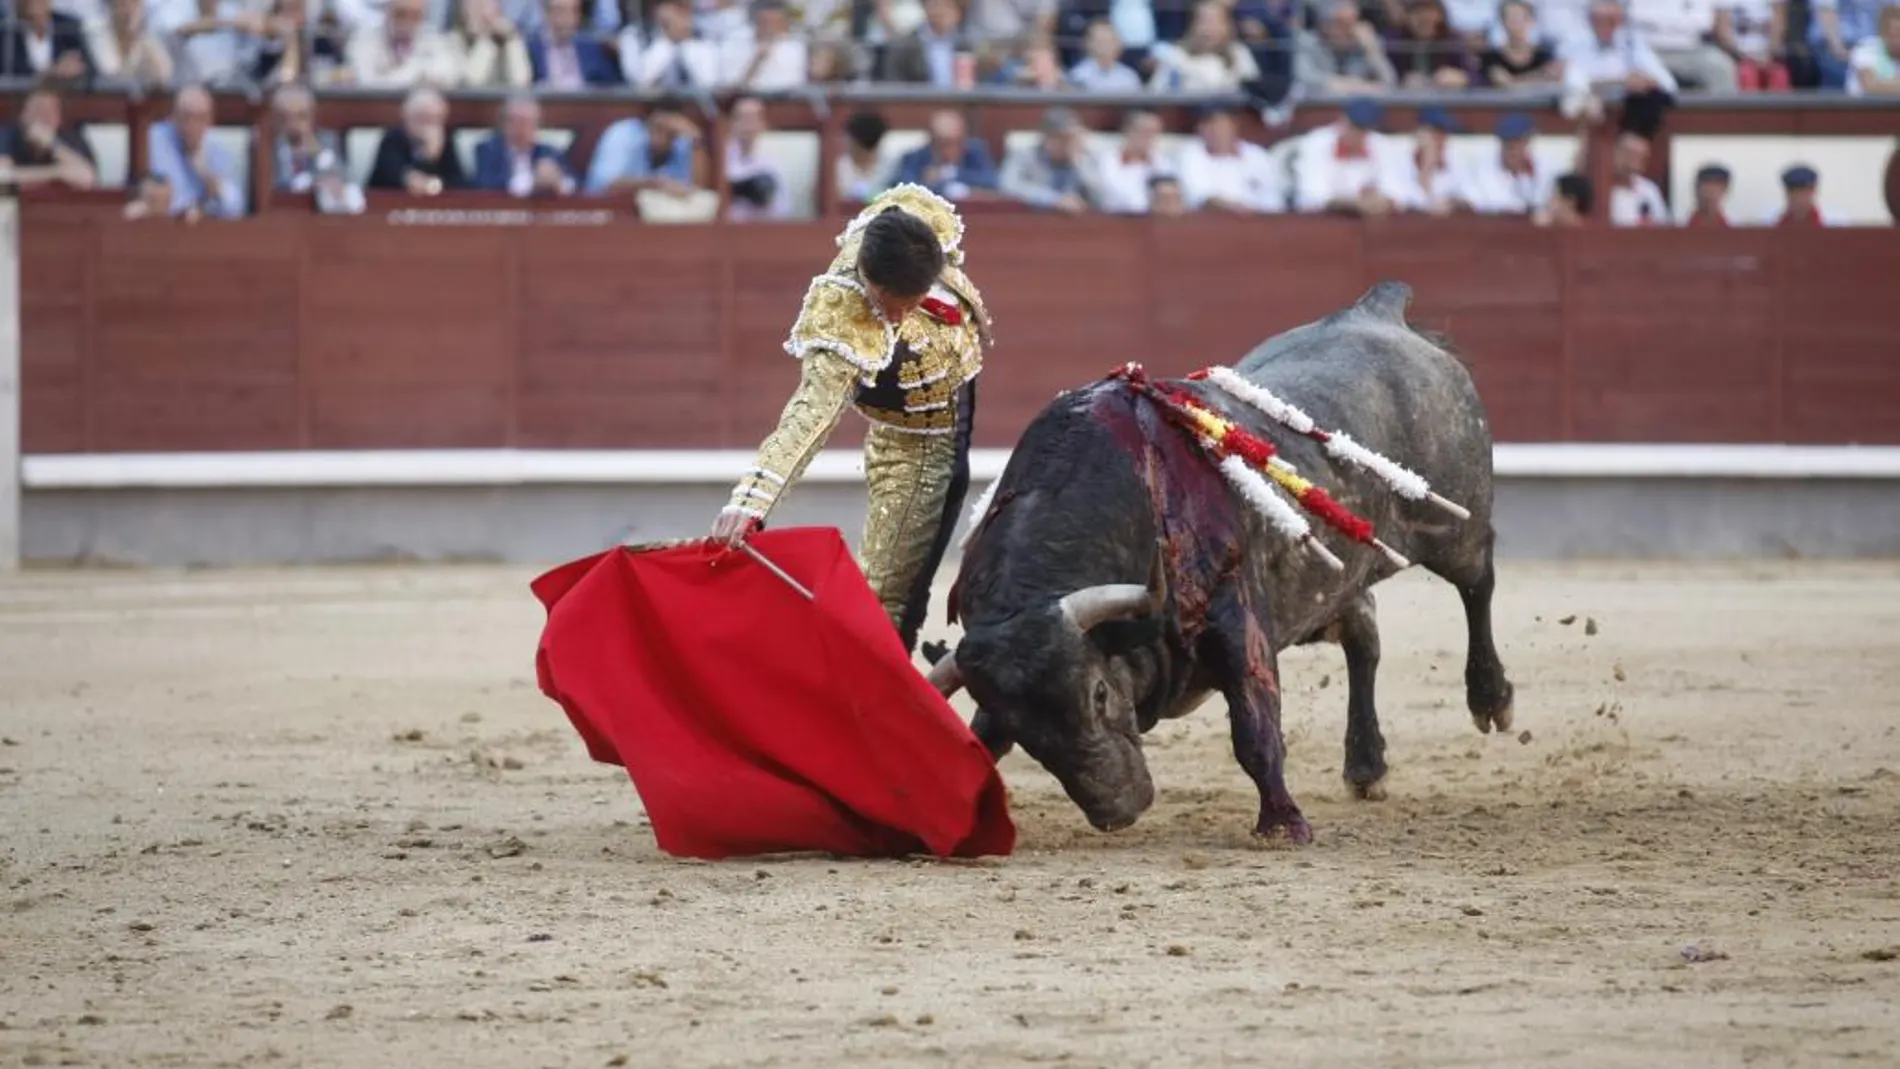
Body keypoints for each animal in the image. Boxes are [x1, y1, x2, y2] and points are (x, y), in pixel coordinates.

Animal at [919, 282, 1512, 846]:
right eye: (1023, 729)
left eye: (1099, 693)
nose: (1119, 809)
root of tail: (1378, 310)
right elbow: (980, 739)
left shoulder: (1235, 617)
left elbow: (1254, 729)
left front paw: (1283, 825)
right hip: (1333, 579)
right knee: (1363, 633)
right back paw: (1367, 766)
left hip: (1452, 526)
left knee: (1477, 582)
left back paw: (1492, 698)